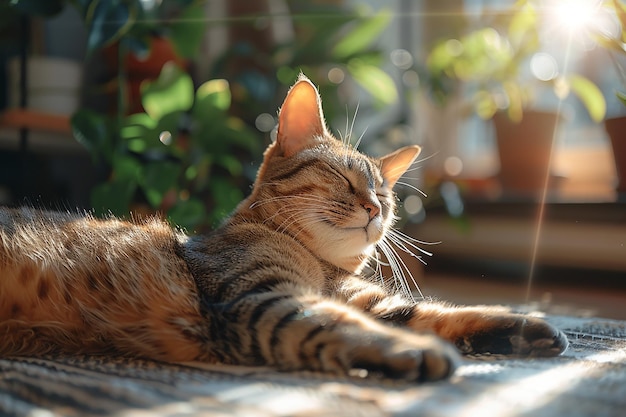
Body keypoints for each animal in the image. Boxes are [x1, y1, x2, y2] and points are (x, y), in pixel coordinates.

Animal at [0, 74, 564, 380]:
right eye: (344, 178)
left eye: (385, 195)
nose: (375, 209)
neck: (321, 269)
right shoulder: (262, 296)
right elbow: (341, 324)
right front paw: (415, 352)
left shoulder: (370, 301)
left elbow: (437, 313)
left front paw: (525, 326)